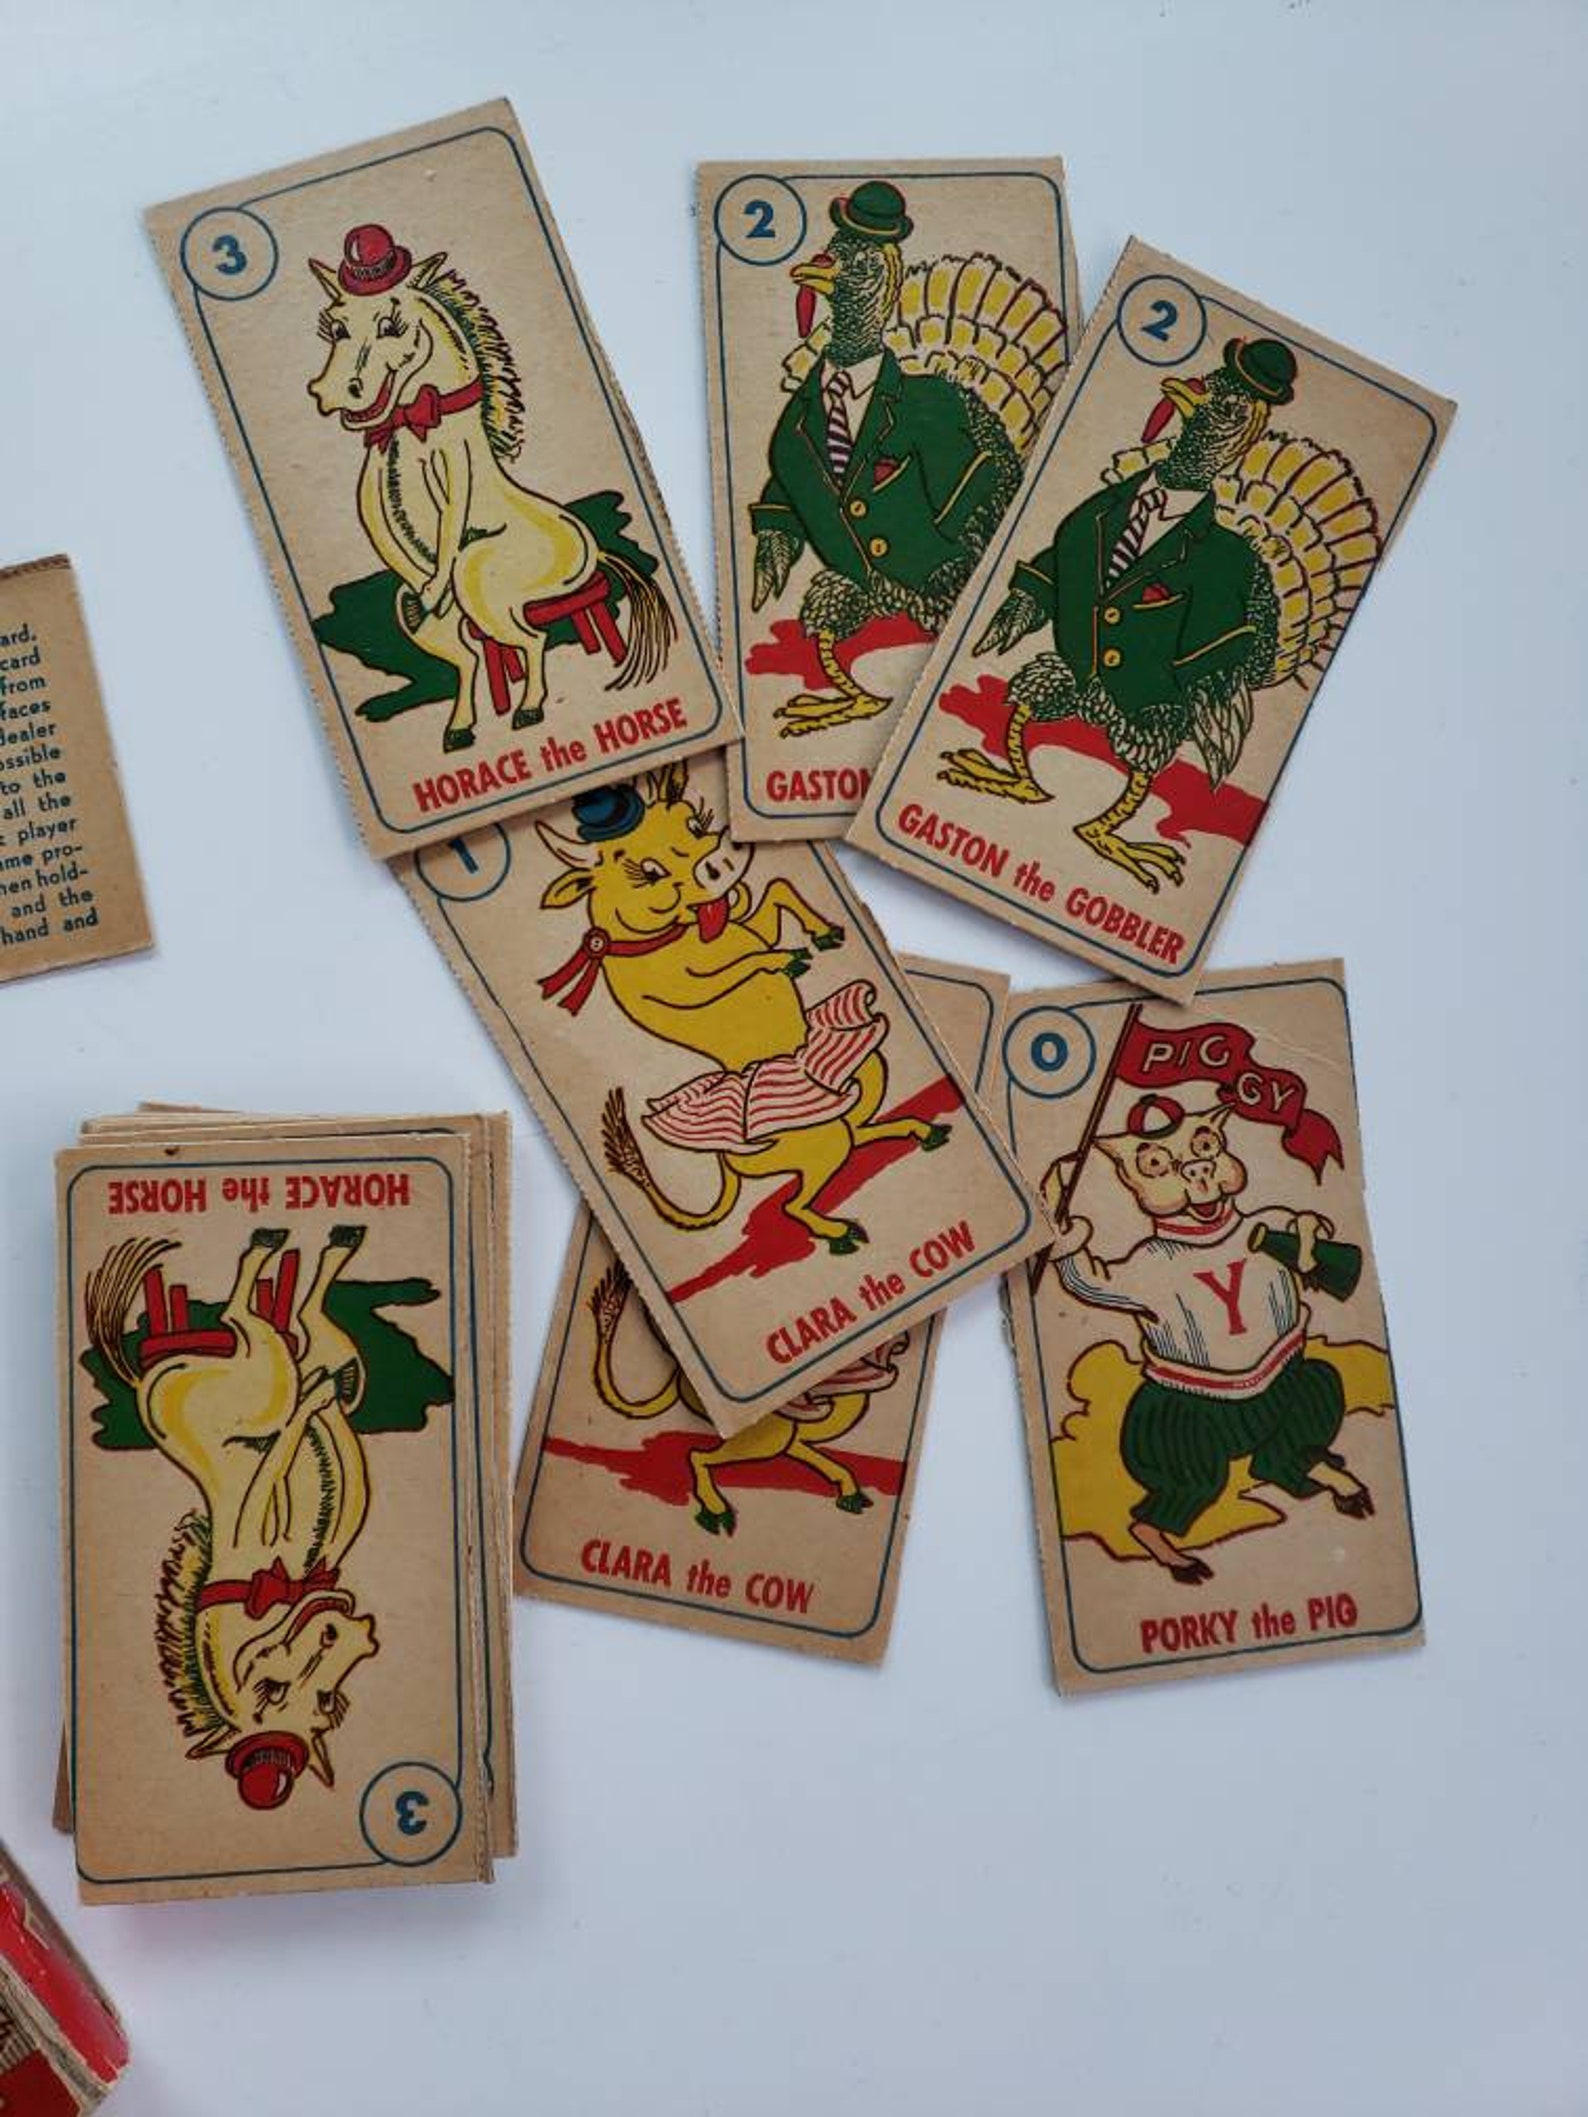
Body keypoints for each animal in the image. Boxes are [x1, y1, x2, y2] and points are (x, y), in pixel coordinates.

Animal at [85, 1225, 379, 1811]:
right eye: (272, 1690)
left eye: (326, 1700)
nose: (341, 1631)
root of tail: (144, 1378)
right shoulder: (251, 1528)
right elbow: (275, 1464)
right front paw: (310, 1407)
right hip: (264, 1377)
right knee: (252, 1322)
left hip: (285, 1363)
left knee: (305, 1329)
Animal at [306, 223, 674, 753]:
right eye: (336, 328)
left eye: (392, 327)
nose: (331, 392)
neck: (410, 420)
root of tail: (594, 553)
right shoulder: (371, 490)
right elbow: (392, 544)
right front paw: (429, 593)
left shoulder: (455, 469)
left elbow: (451, 523)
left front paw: (435, 585)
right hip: (431, 611)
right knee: (470, 655)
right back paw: (460, 726)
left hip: (482, 574)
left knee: (529, 638)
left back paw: (529, 708)